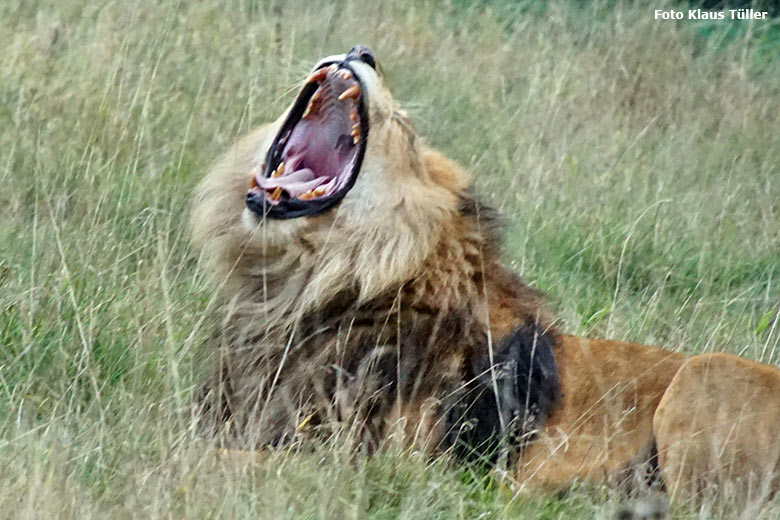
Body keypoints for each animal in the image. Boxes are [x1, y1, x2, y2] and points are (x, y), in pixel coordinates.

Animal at [189, 46, 780, 506]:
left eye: (404, 128)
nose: (361, 52)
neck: (303, 282)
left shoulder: (375, 463)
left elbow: (222, 457)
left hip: (705, 373)